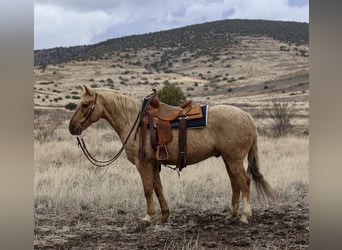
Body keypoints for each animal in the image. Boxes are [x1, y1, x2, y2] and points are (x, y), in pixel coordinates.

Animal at [68, 85, 274, 223]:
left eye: (85, 105)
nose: (72, 127)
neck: (134, 121)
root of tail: (247, 116)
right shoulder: (154, 165)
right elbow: (158, 188)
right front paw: (165, 215)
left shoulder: (143, 164)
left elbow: (147, 189)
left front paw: (148, 217)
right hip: (228, 159)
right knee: (235, 183)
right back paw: (231, 215)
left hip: (234, 159)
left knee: (244, 182)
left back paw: (245, 216)